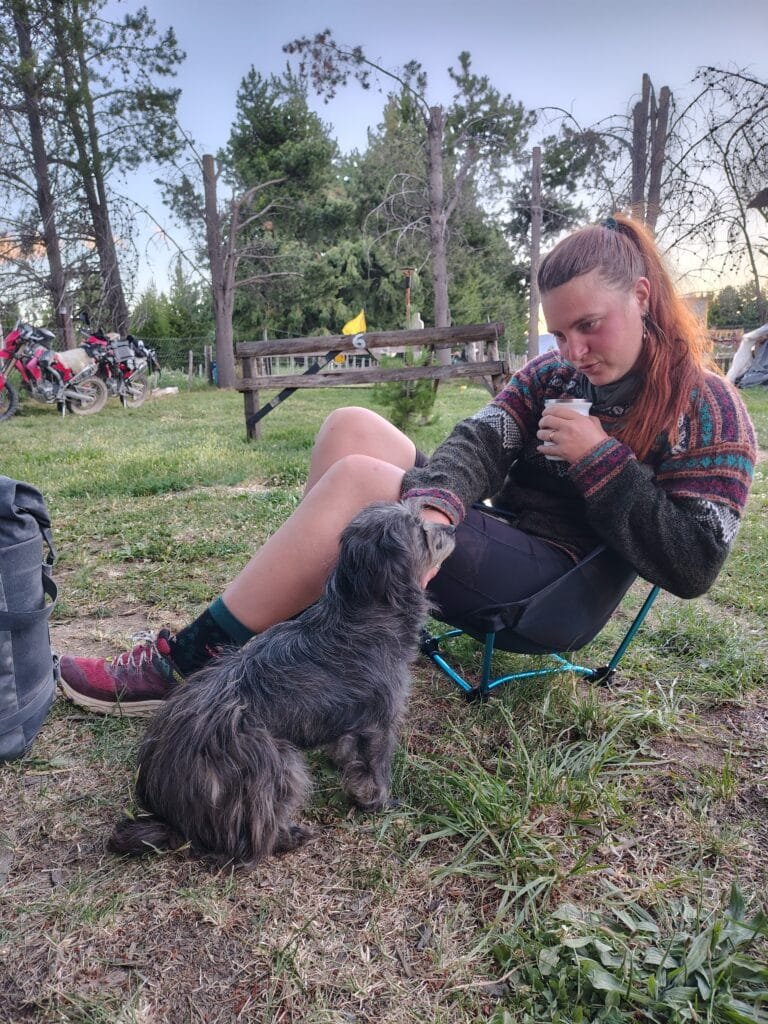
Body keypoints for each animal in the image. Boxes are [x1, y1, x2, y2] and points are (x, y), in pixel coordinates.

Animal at [108, 500, 455, 867]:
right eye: (421, 529)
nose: (452, 527)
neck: (360, 613)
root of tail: (172, 818)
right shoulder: (380, 722)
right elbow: (377, 769)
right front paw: (379, 803)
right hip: (277, 761)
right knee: (248, 841)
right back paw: (288, 837)